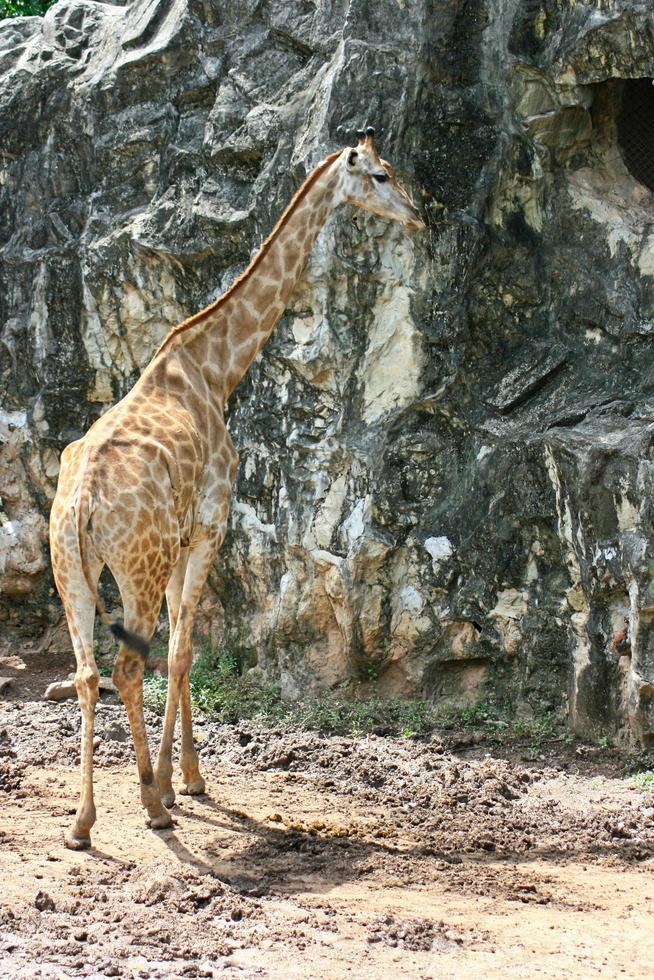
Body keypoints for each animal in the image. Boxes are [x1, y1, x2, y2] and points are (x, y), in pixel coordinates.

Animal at [47, 128, 426, 848]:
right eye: (382, 175)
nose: (420, 215)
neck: (214, 365)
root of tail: (81, 504)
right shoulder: (208, 529)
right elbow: (183, 649)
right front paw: (179, 784)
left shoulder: (181, 541)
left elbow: (180, 647)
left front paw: (187, 777)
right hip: (133, 566)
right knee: (126, 667)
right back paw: (151, 807)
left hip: (73, 570)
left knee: (86, 673)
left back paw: (82, 823)